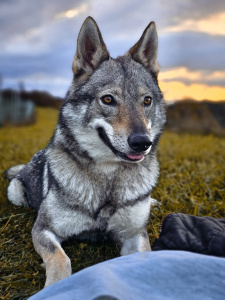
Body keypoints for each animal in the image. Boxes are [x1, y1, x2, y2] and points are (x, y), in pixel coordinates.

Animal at [5, 17, 165, 288]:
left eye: (146, 101)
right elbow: (61, 259)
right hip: (15, 194)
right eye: (108, 99)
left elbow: (146, 257)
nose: (142, 142)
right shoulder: (43, 230)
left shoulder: (135, 234)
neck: (108, 179)